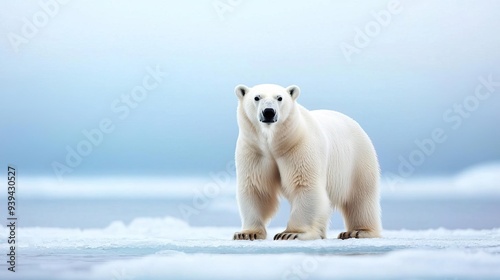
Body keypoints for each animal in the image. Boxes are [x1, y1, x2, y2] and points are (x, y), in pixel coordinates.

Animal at [232, 83, 380, 241]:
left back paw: (357, 231)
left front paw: (291, 233)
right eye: (257, 97)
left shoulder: (299, 147)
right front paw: (247, 233)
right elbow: (256, 188)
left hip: (357, 160)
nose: (269, 112)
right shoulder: (255, 151)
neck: (275, 144)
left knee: (361, 198)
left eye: (279, 98)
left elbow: (305, 185)